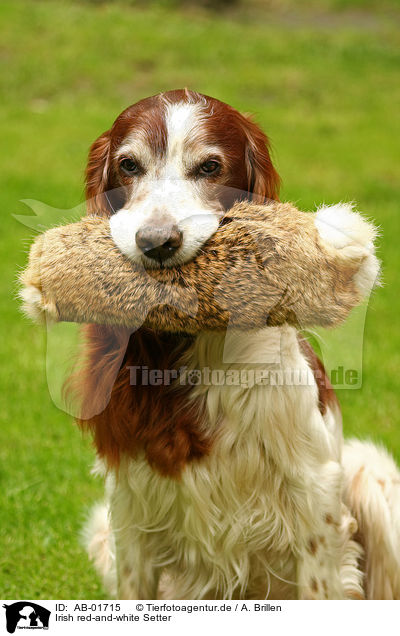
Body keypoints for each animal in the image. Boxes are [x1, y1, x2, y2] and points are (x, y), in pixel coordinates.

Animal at [70, 89, 398, 600]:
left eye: (210, 167)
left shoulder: (316, 507)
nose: (156, 242)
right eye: (128, 165)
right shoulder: (130, 511)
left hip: (373, 478)